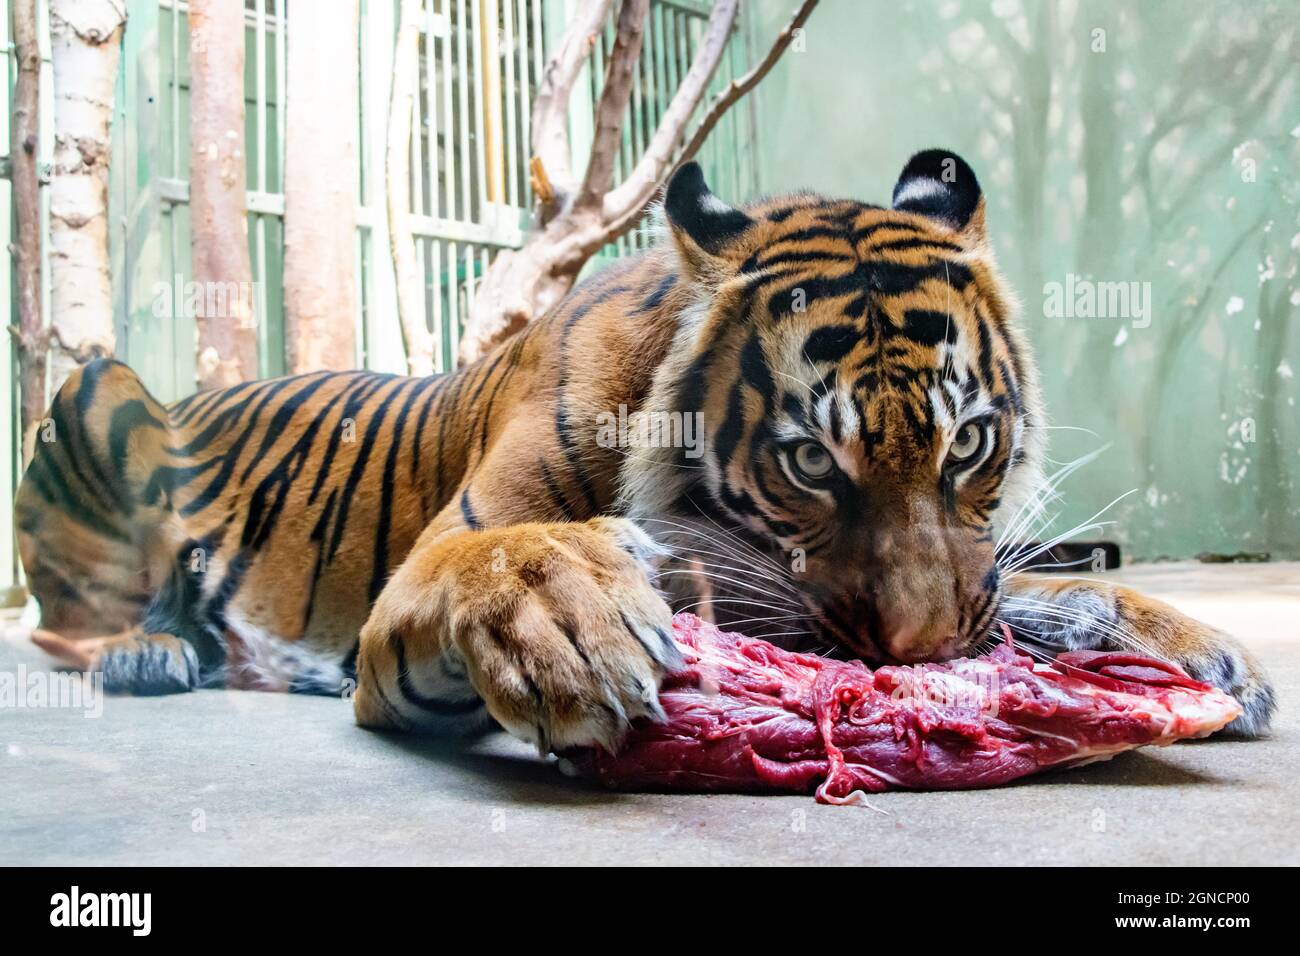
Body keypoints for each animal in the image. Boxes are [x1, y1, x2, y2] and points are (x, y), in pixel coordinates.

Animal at [15, 151, 1274, 749]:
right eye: (810, 464)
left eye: (968, 441)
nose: (918, 657)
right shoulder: (417, 580)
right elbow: (506, 554)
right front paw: (563, 621)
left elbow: (1036, 590)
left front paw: (1208, 650)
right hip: (94, 386)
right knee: (60, 622)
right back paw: (149, 649)